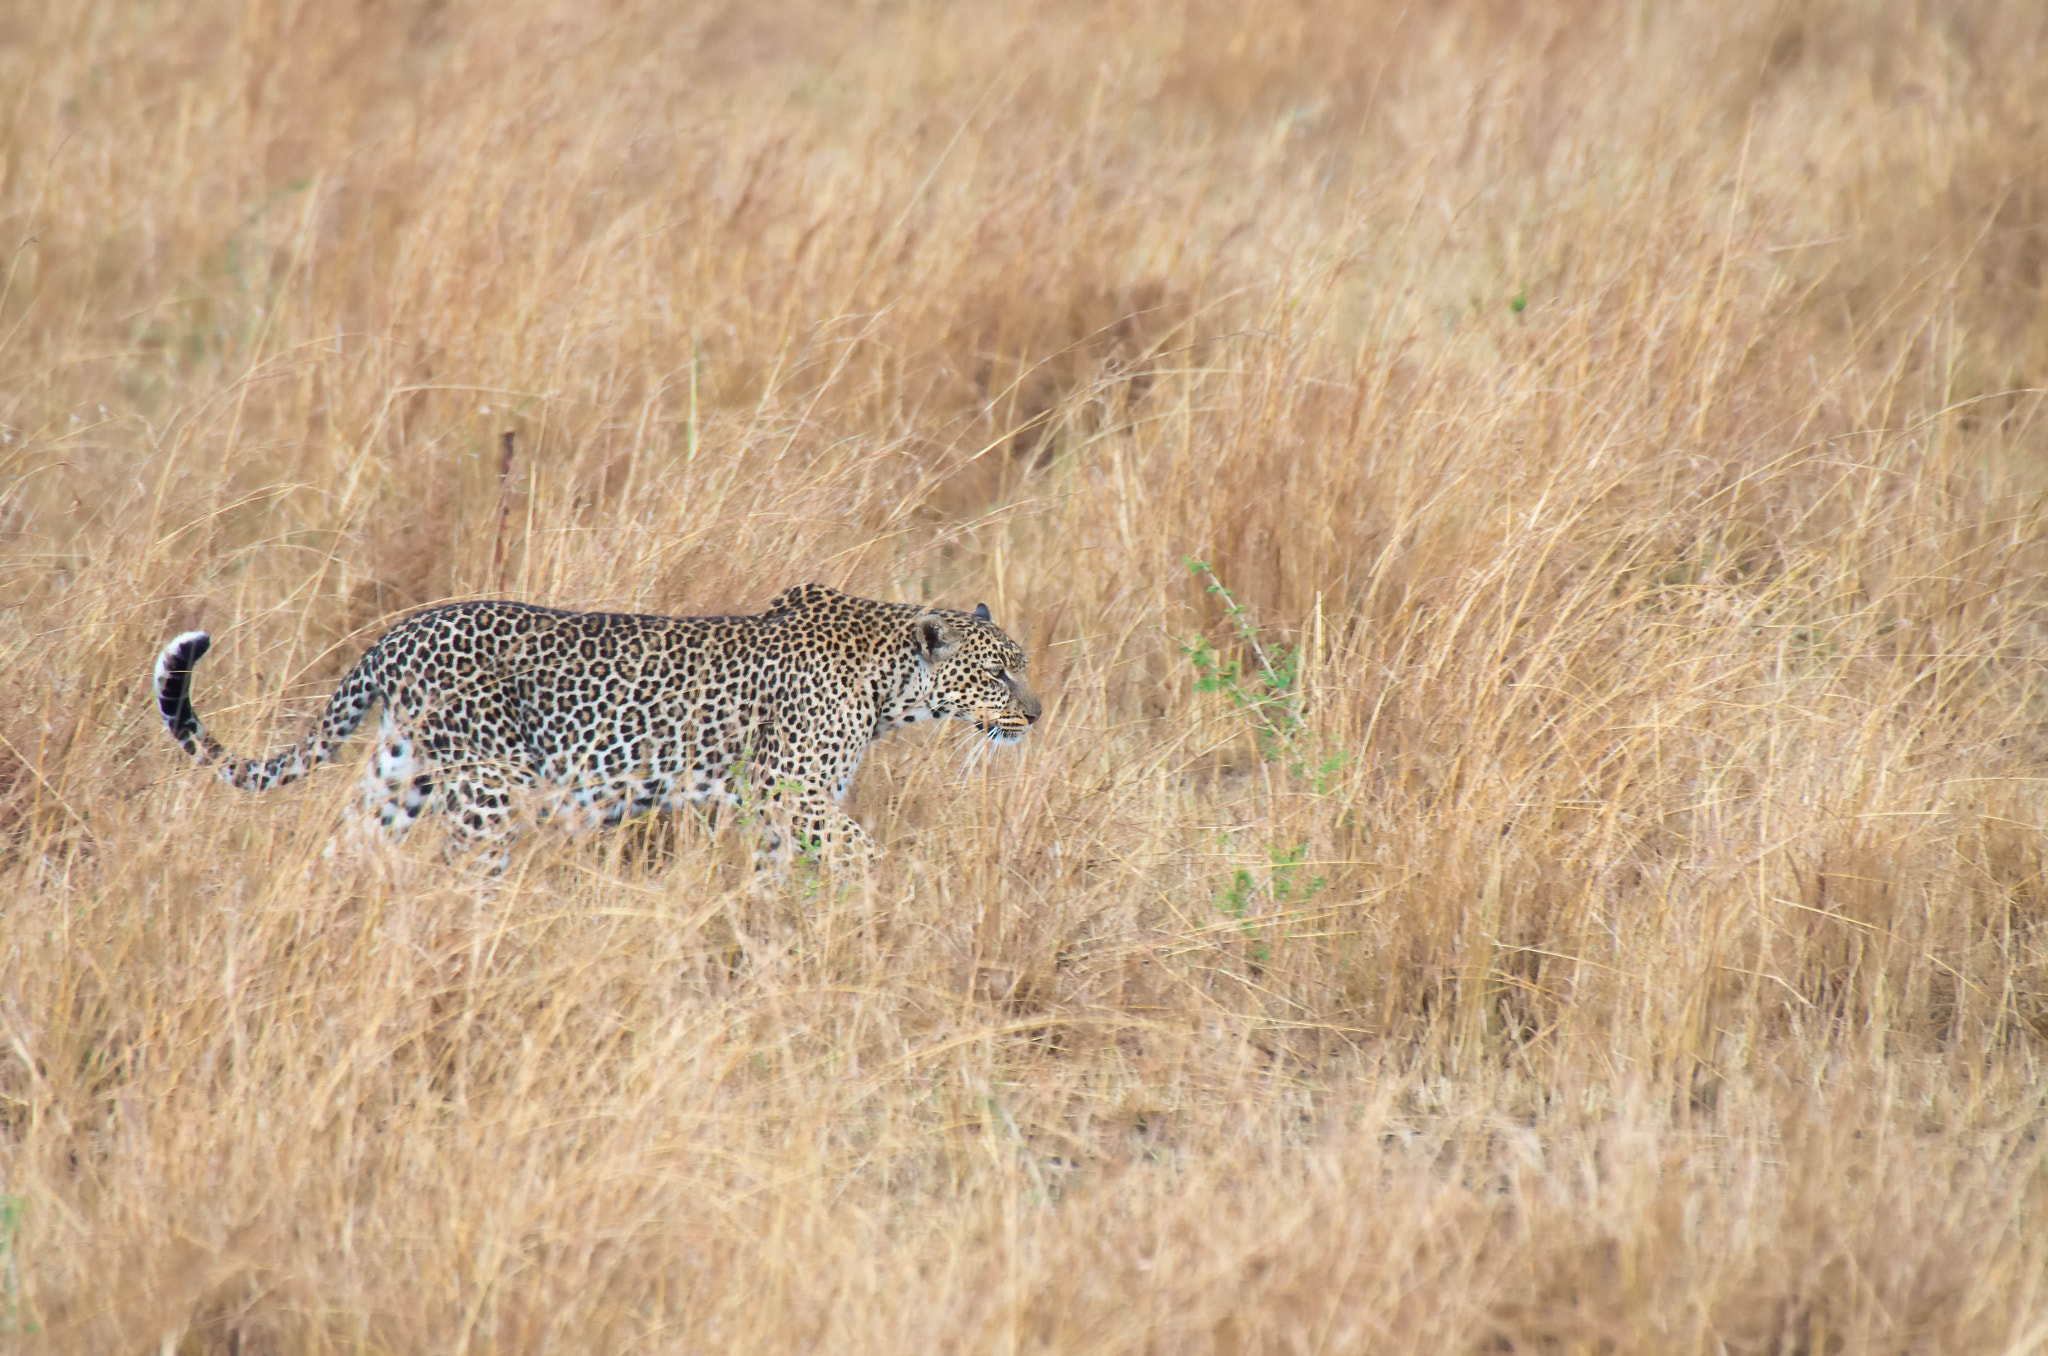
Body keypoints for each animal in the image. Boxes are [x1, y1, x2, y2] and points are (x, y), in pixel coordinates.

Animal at [149, 581, 1040, 860]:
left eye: (1021, 662)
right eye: (998, 671)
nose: (1035, 713)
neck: (892, 684)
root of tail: (400, 633)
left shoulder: (775, 806)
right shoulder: (796, 791)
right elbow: (859, 851)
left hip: (401, 775)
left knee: (346, 848)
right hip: (486, 790)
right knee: (467, 871)